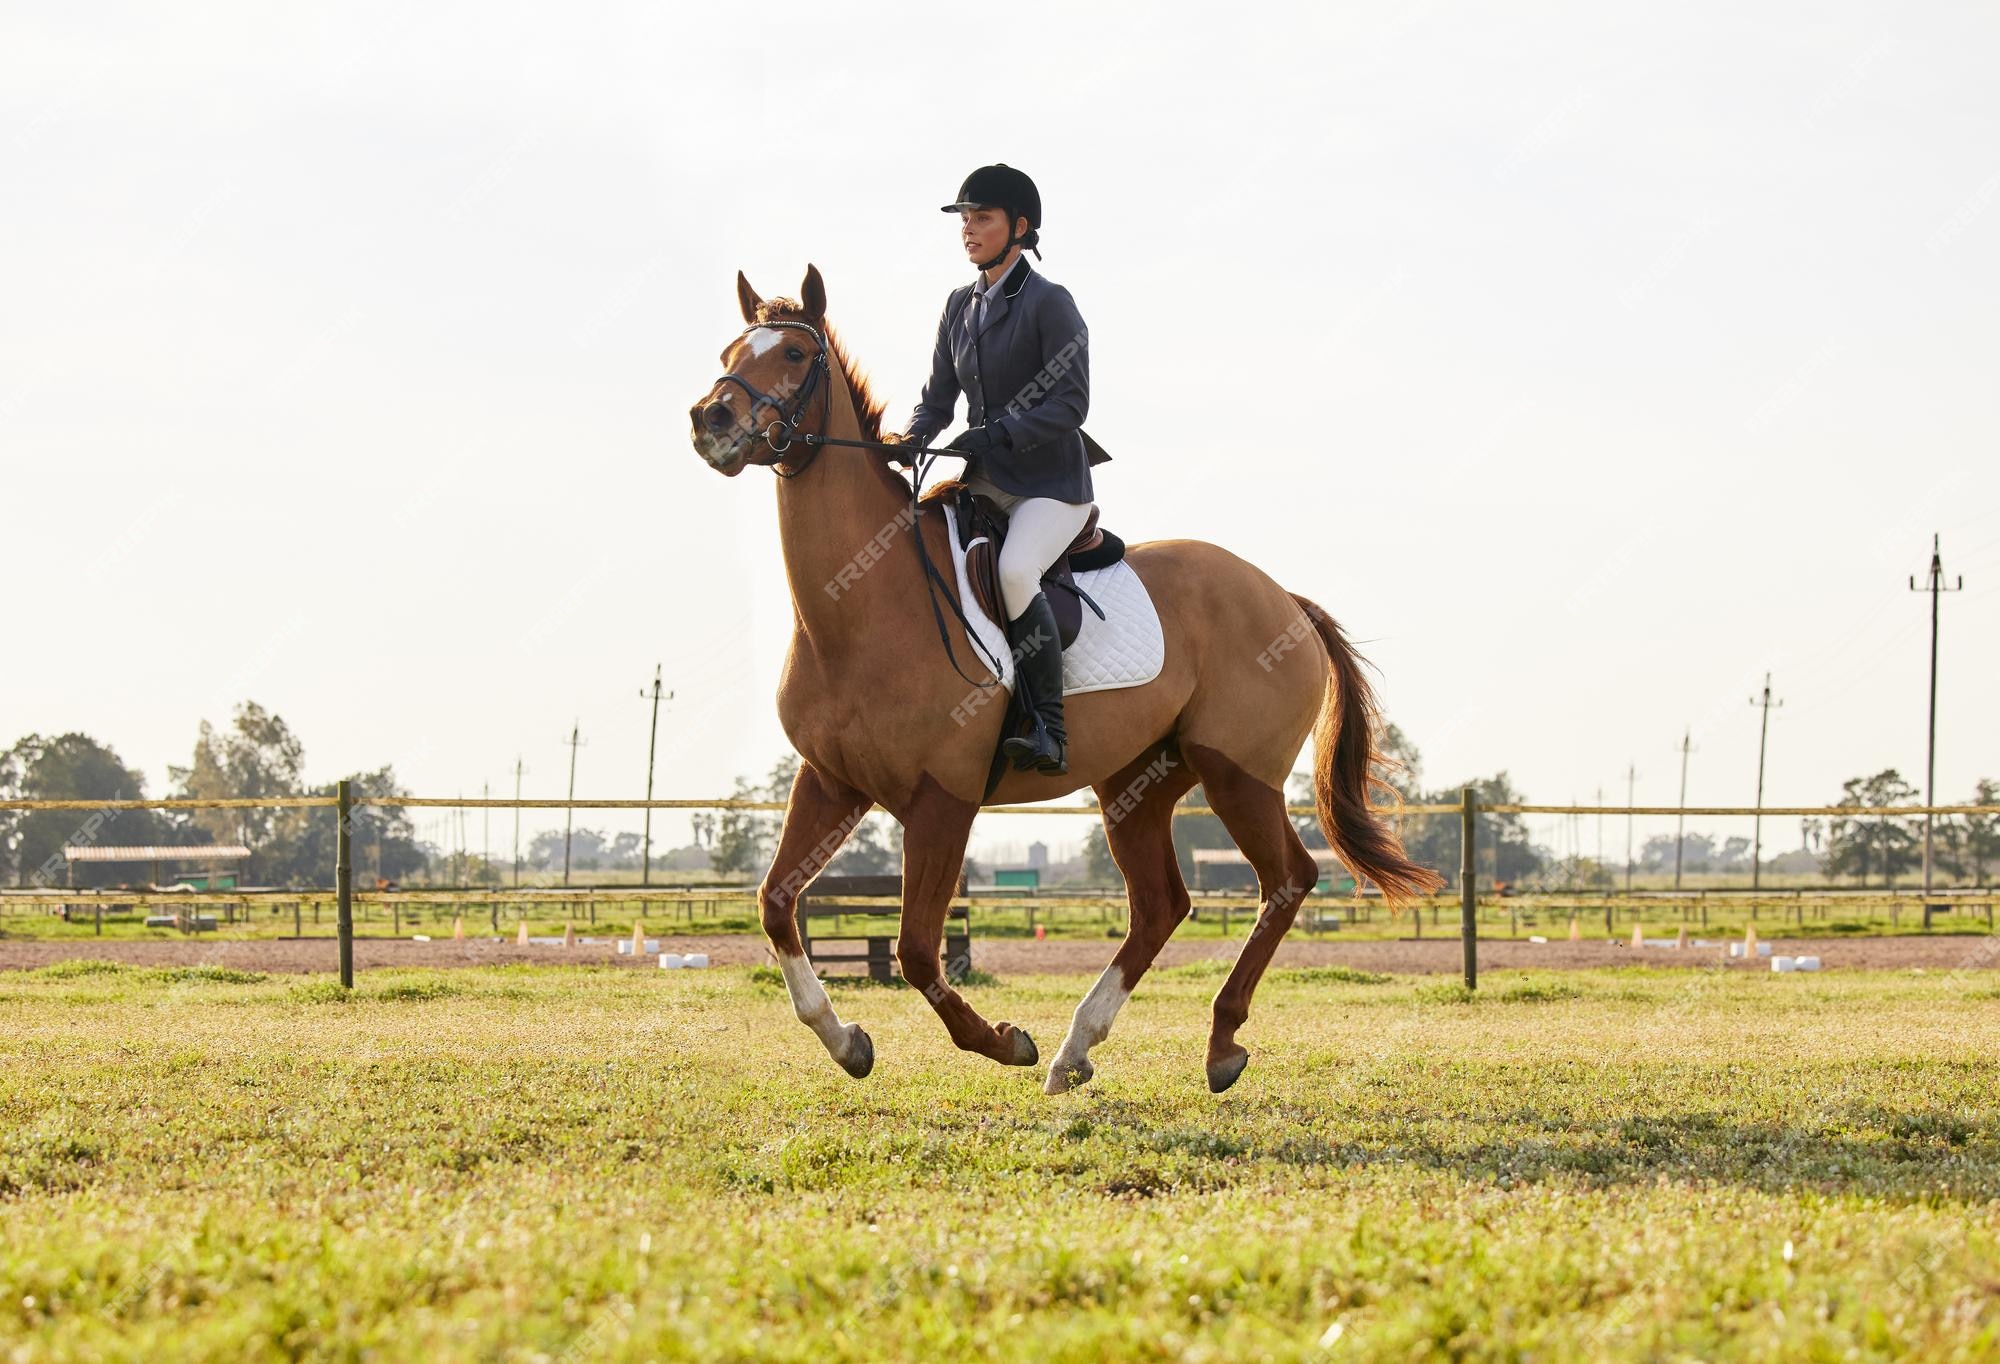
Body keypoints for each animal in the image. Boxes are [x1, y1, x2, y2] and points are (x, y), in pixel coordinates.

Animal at [688, 262, 1440, 1096]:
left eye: (793, 354)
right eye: (729, 351)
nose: (710, 420)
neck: (863, 603)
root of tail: (1283, 598)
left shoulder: (942, 800)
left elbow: (916, 948)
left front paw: (1001, 1040)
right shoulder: (830, 782)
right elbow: (775, 903)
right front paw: (847, 1040)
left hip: (1237, 773)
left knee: (1287, 881)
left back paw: (1219, 1043)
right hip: (1137, 783)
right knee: (1161, 904)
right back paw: (1077, 1048)